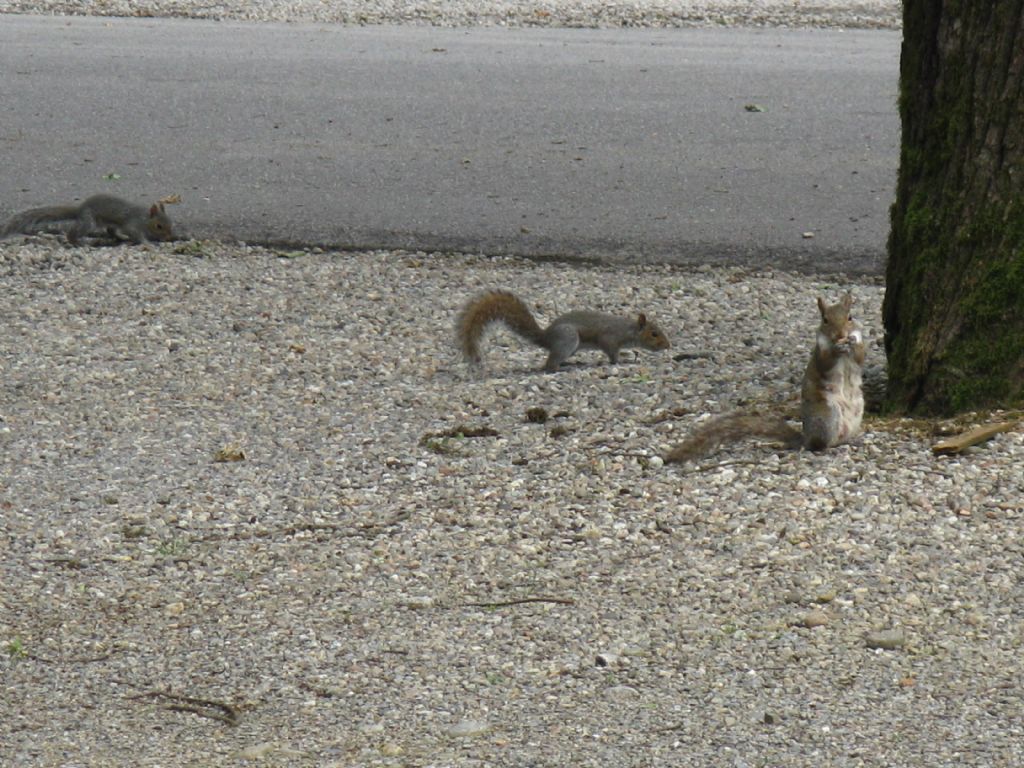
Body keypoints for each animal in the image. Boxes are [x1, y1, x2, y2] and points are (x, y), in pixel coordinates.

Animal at [0, 193, 174, 244]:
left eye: (170, 223)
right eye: (159, 226)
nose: (168, 237)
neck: (145, 218)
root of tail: (80, 209)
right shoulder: (133, 223)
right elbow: (136, 233)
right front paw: (147, 242)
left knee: (111, 231)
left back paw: (120, 237)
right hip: (89, 222)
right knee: (72, 232)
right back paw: (78, 242)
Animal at [458, 290, 671, 374]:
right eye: (654, 333)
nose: (668, 346)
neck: (628, 330)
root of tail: (546, 337)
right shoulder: (609, 338)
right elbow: (612, 354)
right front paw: (622, 361)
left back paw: (570, 363)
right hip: (568, 339)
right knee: (549, 365)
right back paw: (562, 367)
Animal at [663, 292, 864, 462]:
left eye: (850, 317)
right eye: (825, 320)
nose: (841, 335)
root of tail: (806, 438)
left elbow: (861, 355)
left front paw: (852, 342)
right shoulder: (820, 353)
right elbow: (826, 362)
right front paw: (837, 348)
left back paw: (851, 441)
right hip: (827, 416)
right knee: (818, 445)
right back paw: (826, 447)